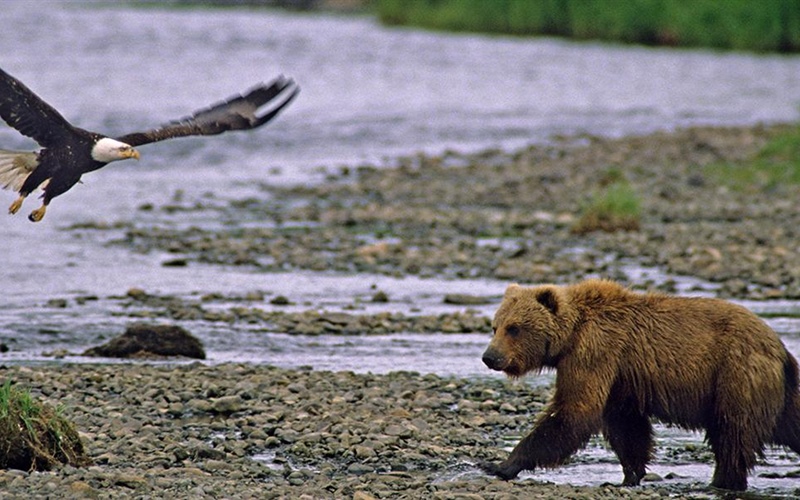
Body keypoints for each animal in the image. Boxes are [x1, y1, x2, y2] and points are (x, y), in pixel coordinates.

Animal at [480, 279, 800, 491]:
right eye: (495, 326)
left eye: (514, 328)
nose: (489, 357)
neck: (569, 337)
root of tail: (778, 345)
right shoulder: (619, 377)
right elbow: (627, 427)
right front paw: (629, 475)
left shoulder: (594, 352)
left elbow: (574, 410)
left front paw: (501, 464)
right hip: (777, 390)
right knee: (787, 423)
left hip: (736, 373)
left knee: (732, 432)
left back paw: (722, 482)